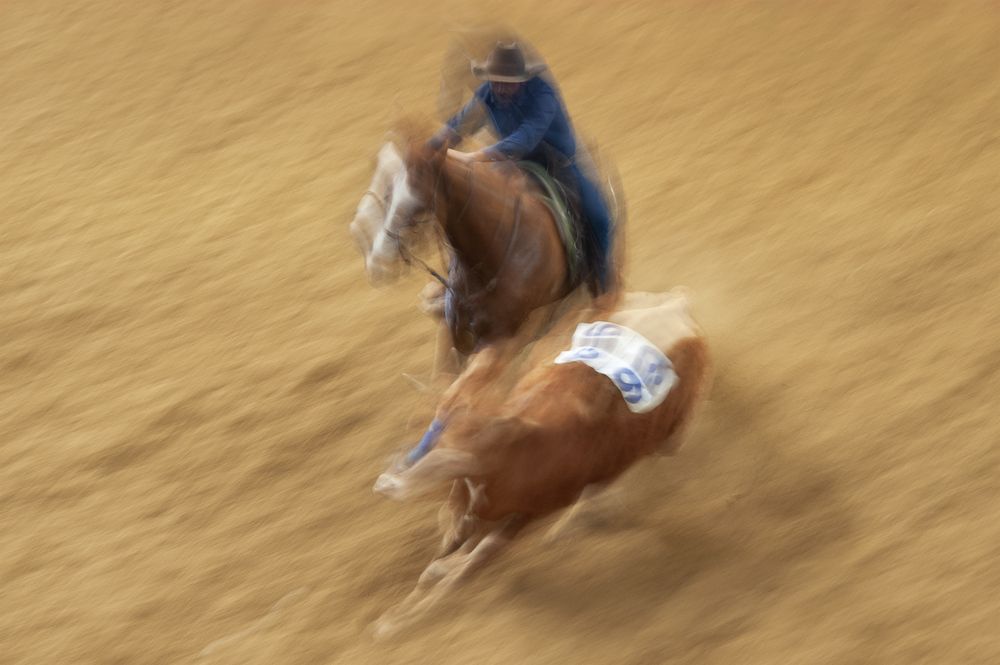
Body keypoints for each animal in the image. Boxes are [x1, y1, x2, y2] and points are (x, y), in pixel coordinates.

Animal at [370, 289, 711, 639]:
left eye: (446, 458)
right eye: (435, 438)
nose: (387, 484)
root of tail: (675, 305)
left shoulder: (524, 517)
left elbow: (464, 568)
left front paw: (400, 621)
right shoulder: (469, 511)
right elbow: (441, 562)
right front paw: (397, 615)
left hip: (670, 436)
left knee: (643, 464)